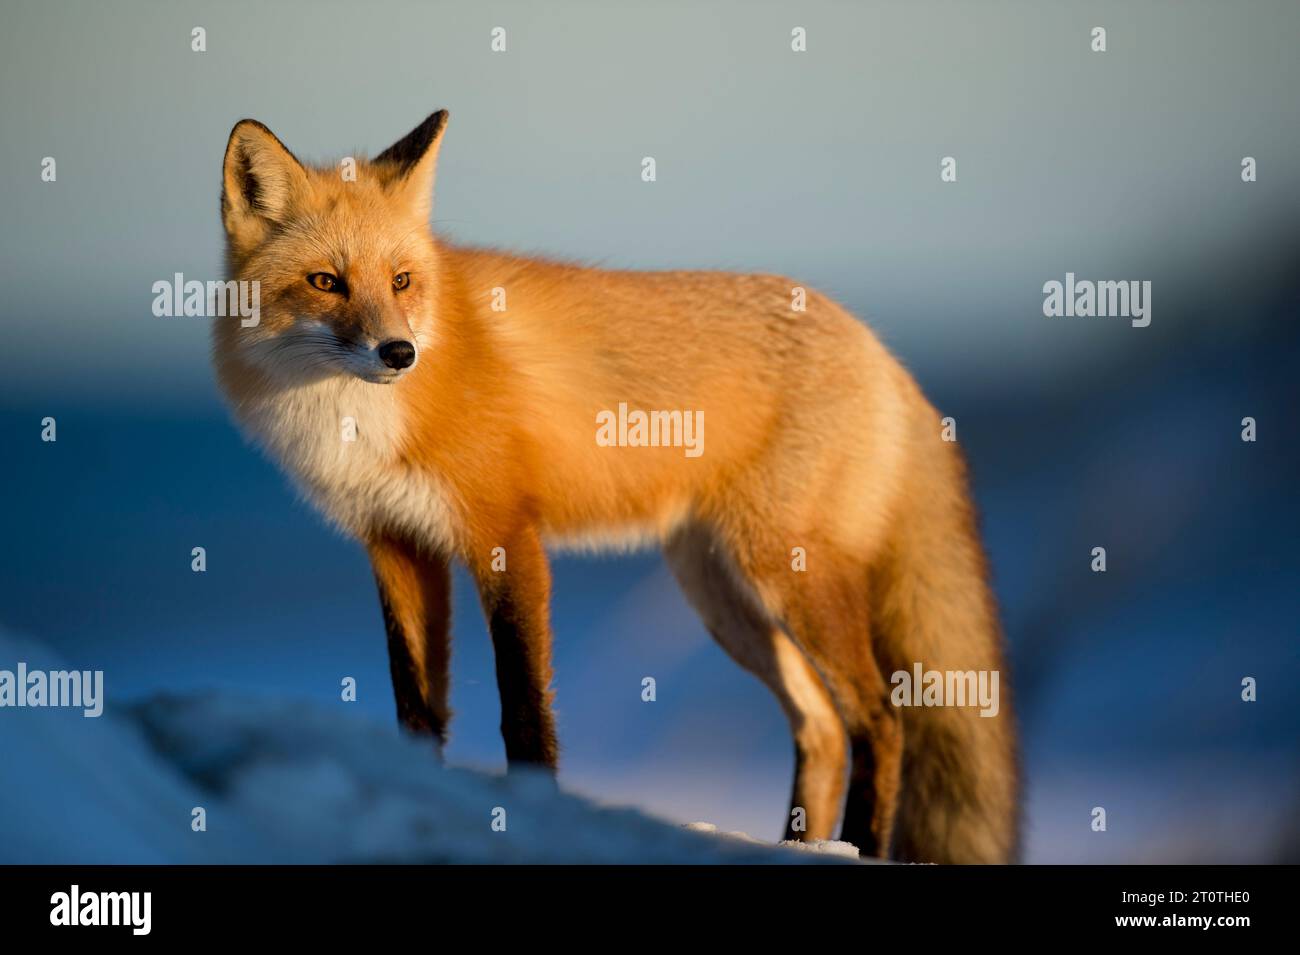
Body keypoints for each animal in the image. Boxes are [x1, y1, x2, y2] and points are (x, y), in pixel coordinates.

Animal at [213, 111, 1019, 867]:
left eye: (402, 281)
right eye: (326, 282)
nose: (399, 352)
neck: (360, 421)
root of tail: (880, 348)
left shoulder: (506, 535)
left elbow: (523, 708)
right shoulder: (397, 544)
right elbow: (416, 708)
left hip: (786, 574)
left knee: (880, 718)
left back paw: (859, 846)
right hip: (722, 595)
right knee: (820, 724)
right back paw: (800, 845)